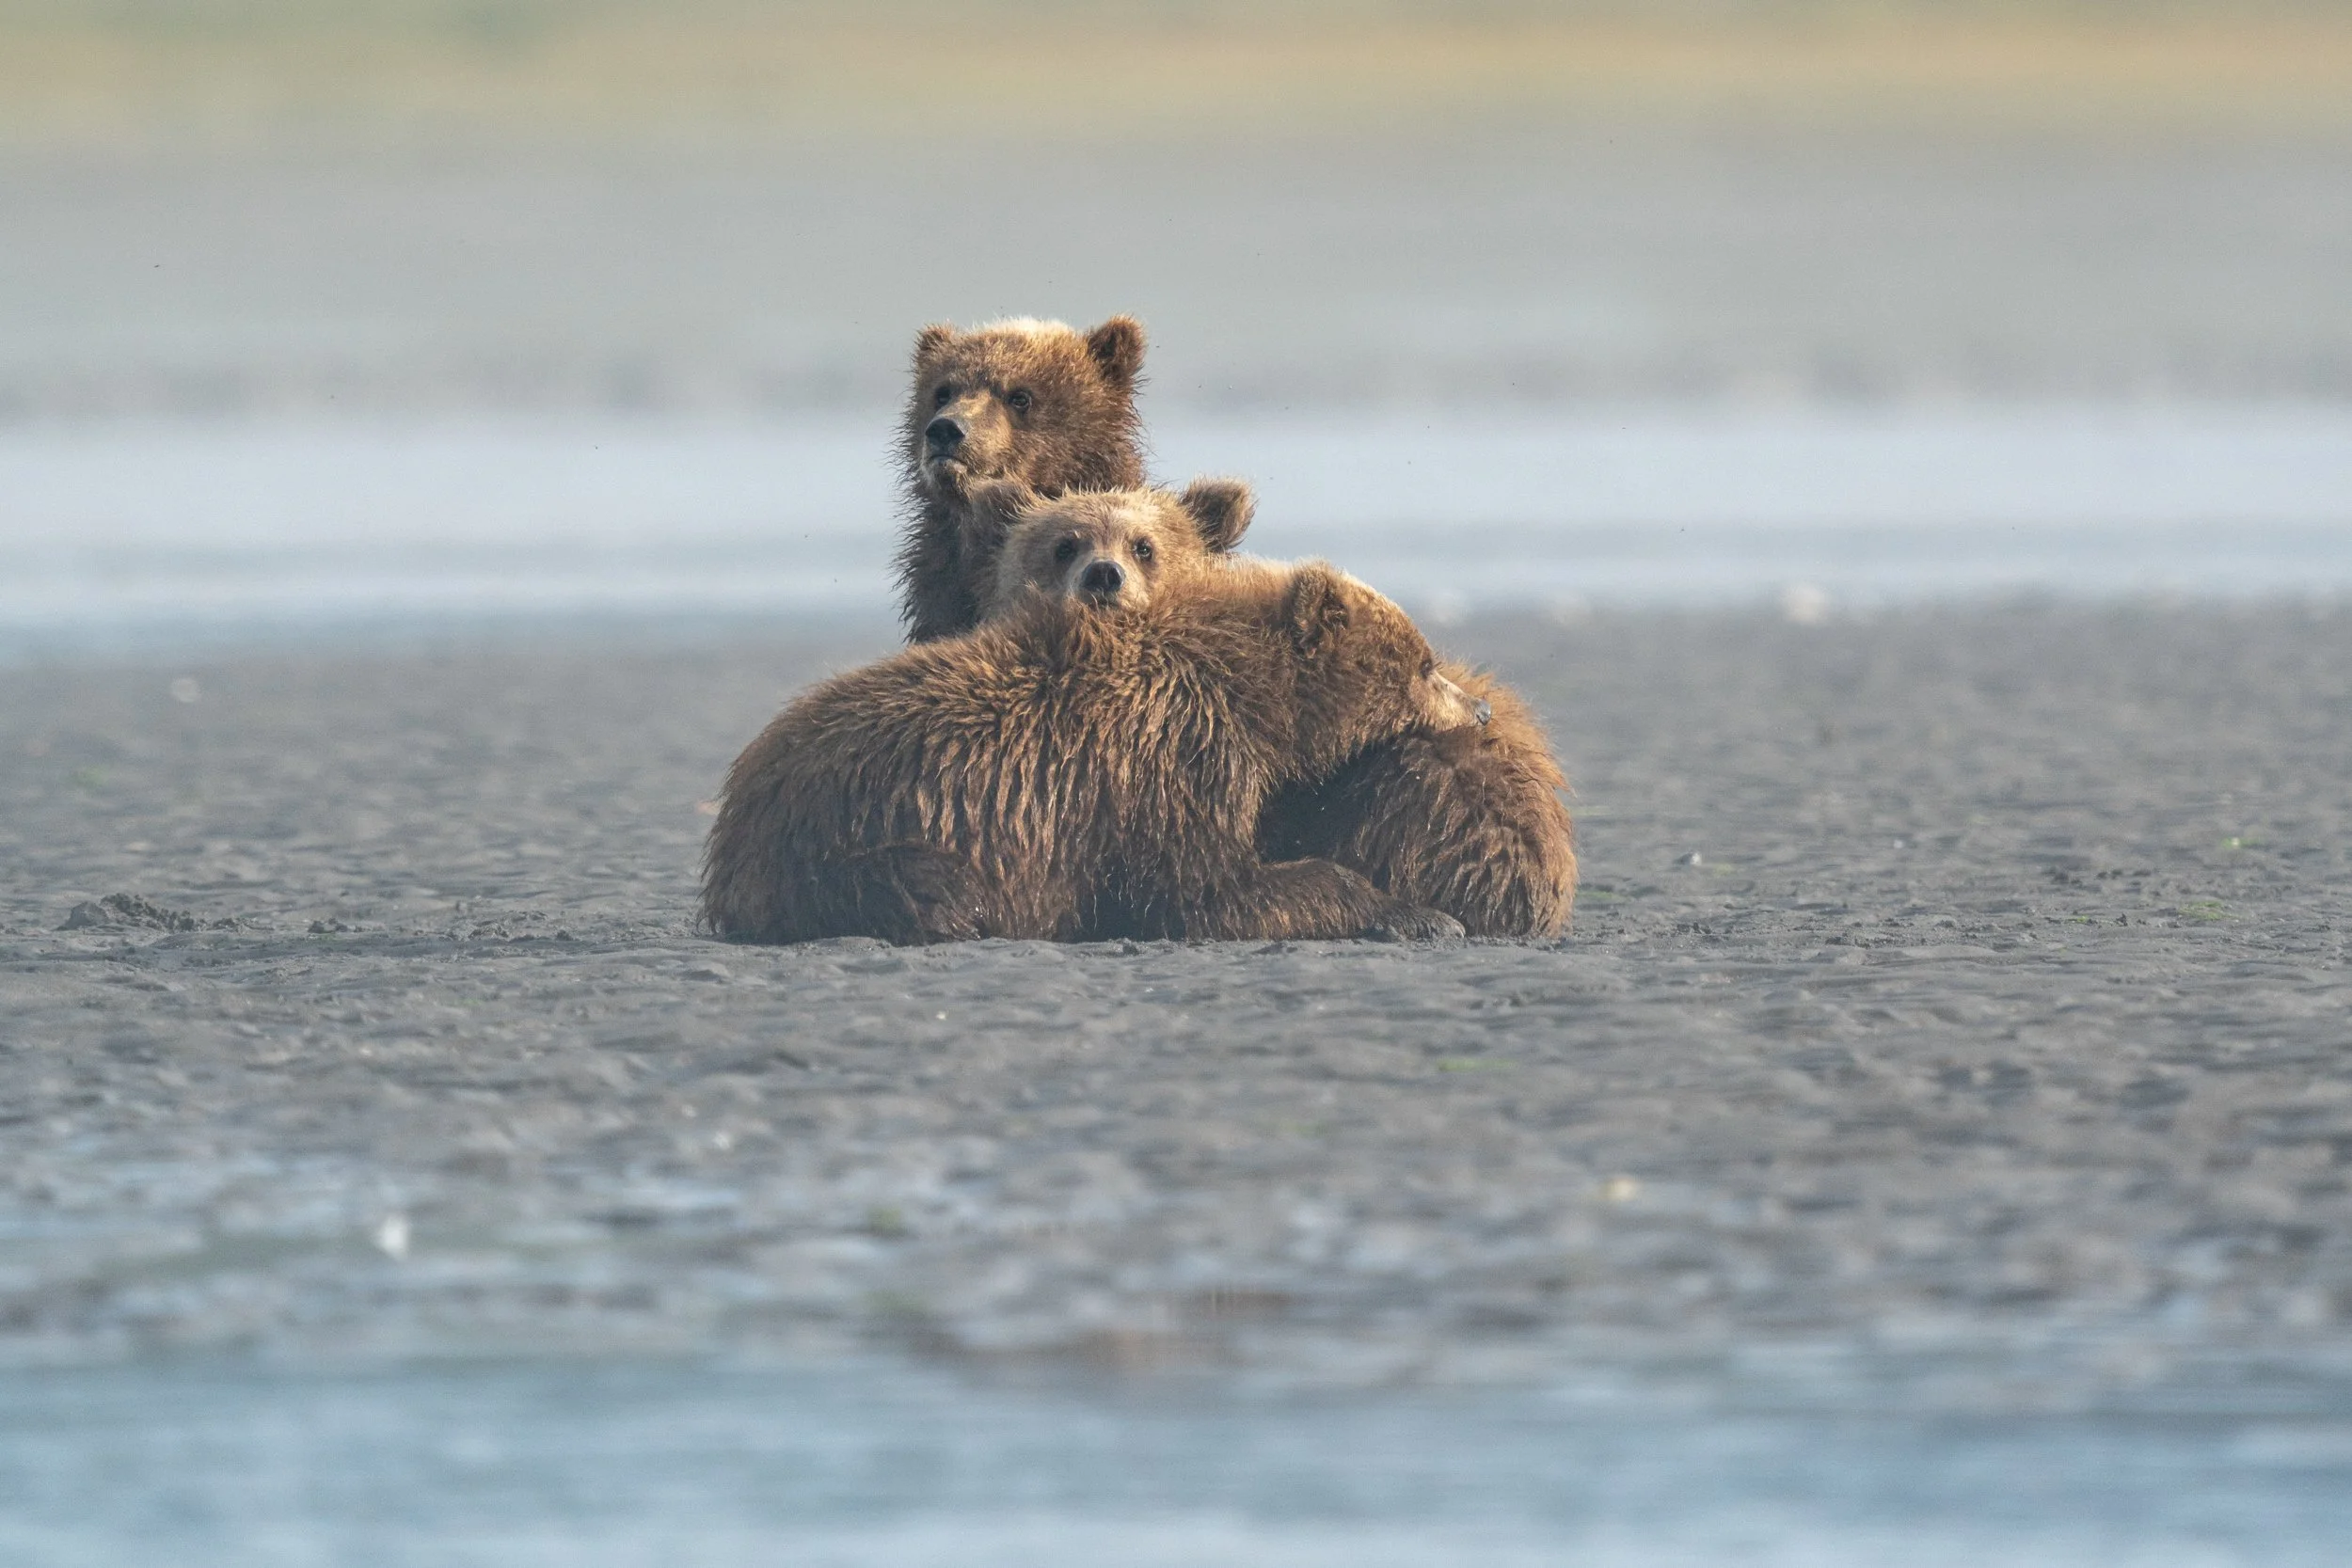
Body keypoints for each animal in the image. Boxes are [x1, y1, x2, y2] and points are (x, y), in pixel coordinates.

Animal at [700, 523, 1486, 946]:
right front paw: (1422, 914)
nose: (1478, 709)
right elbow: (1202, 890)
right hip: (849, 836)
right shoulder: (1169, 754)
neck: (1254, 696)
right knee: (935, 885)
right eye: (1424, 663)